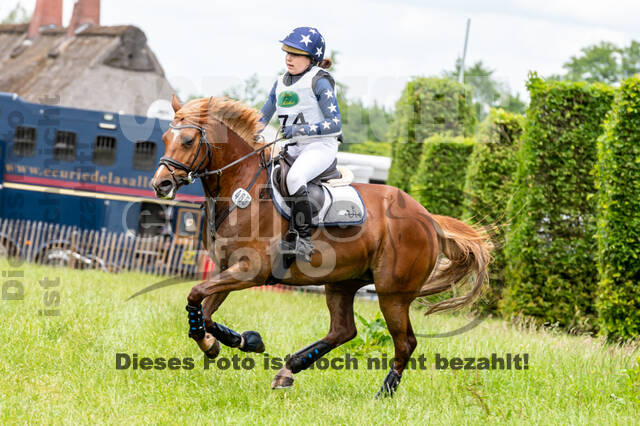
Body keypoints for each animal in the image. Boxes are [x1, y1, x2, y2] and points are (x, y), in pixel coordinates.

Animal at [151, 95, 492, 397]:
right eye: (166, 137)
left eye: (188, 140)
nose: (160, 184)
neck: (240, 191)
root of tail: (427, 218)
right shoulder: (227, 268)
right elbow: (204, 312)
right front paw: (235, 341)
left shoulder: (250, 270)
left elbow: (195, 295)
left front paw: (229, 342)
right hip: (341, 282)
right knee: (344, 330)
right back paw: (288, 370)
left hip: (391, 294)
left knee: (405, 342)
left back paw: (383, 394)